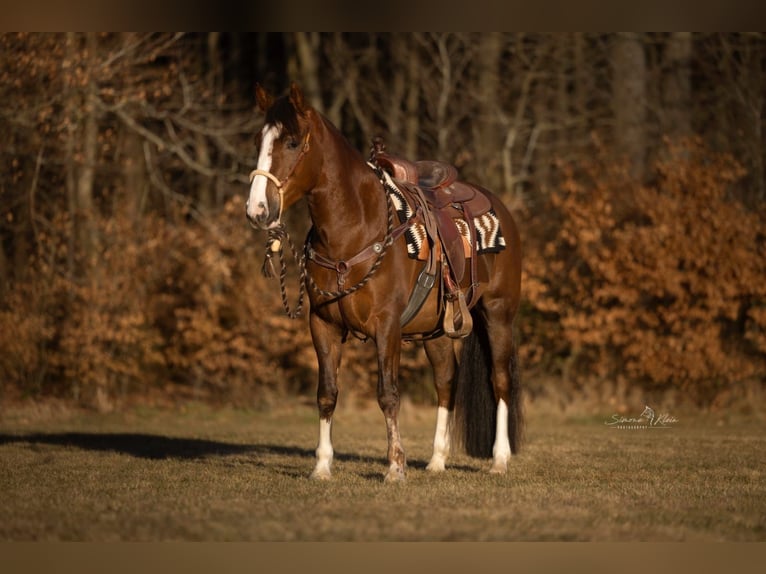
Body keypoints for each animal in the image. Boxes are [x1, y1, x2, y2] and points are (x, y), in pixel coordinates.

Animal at [249, 83, 524, 484]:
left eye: (292, 142)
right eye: (259, 140)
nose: (257, 210)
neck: (356, 230)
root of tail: (498, 206)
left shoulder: (387, 326)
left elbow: (388, 394)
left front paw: (395, 466)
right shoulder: (323, 325)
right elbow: (327, 393)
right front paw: (322, 466)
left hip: (499, 313)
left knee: (499, 380)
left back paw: (500, 460)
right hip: (437, 332)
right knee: (446, 382)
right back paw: (437, 460)